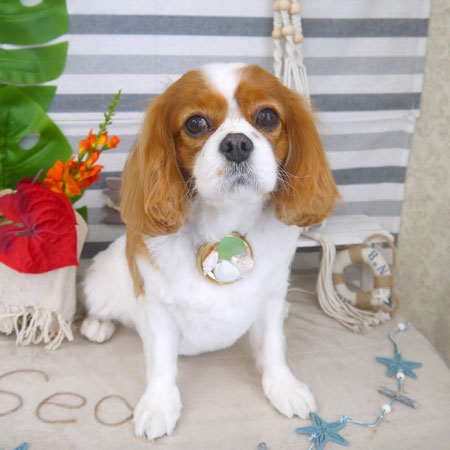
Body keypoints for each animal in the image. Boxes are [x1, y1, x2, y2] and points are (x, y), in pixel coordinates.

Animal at [81, 63, 339, 440]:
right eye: (196, 123)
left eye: (267, 117)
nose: (237, 143)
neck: (224, 228)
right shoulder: (157, 307)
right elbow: (161, 362)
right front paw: (158, 405)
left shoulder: (270, 297)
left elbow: (274, 347)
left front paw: (283, 387)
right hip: (100, 280)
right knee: (99, 305)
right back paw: (97, 325)